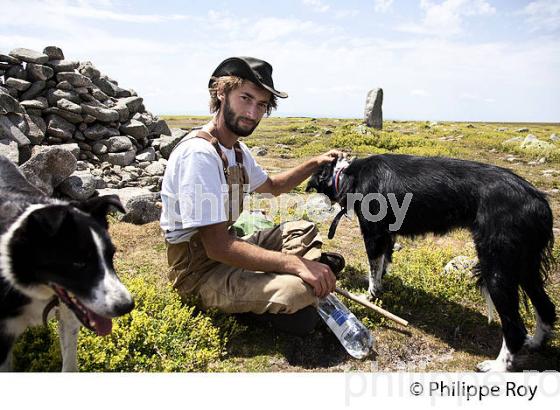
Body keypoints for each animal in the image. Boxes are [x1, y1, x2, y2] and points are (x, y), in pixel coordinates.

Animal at [306, 154, 556, 372]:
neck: (349, 174)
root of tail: (539, 201)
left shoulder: (373, 234)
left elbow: (373, 270)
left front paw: (369, 297)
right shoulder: (388, 235)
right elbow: (383, 265)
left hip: (497, 268)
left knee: (514, 328)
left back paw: (498, 367)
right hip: (524, 266)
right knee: (546, 307)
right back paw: (535, 343)